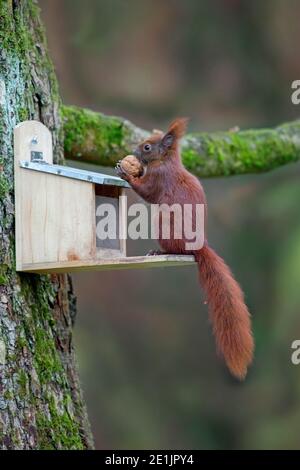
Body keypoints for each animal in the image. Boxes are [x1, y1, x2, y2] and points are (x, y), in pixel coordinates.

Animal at [116, 118, 253, 378]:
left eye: (147, 147)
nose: (134, 151)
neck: (165, 160)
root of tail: (199, 248)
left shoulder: (160, 177)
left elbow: (147, 193)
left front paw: (126, 174)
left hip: (163, 225)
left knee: (177, 250)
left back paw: (159, 252)